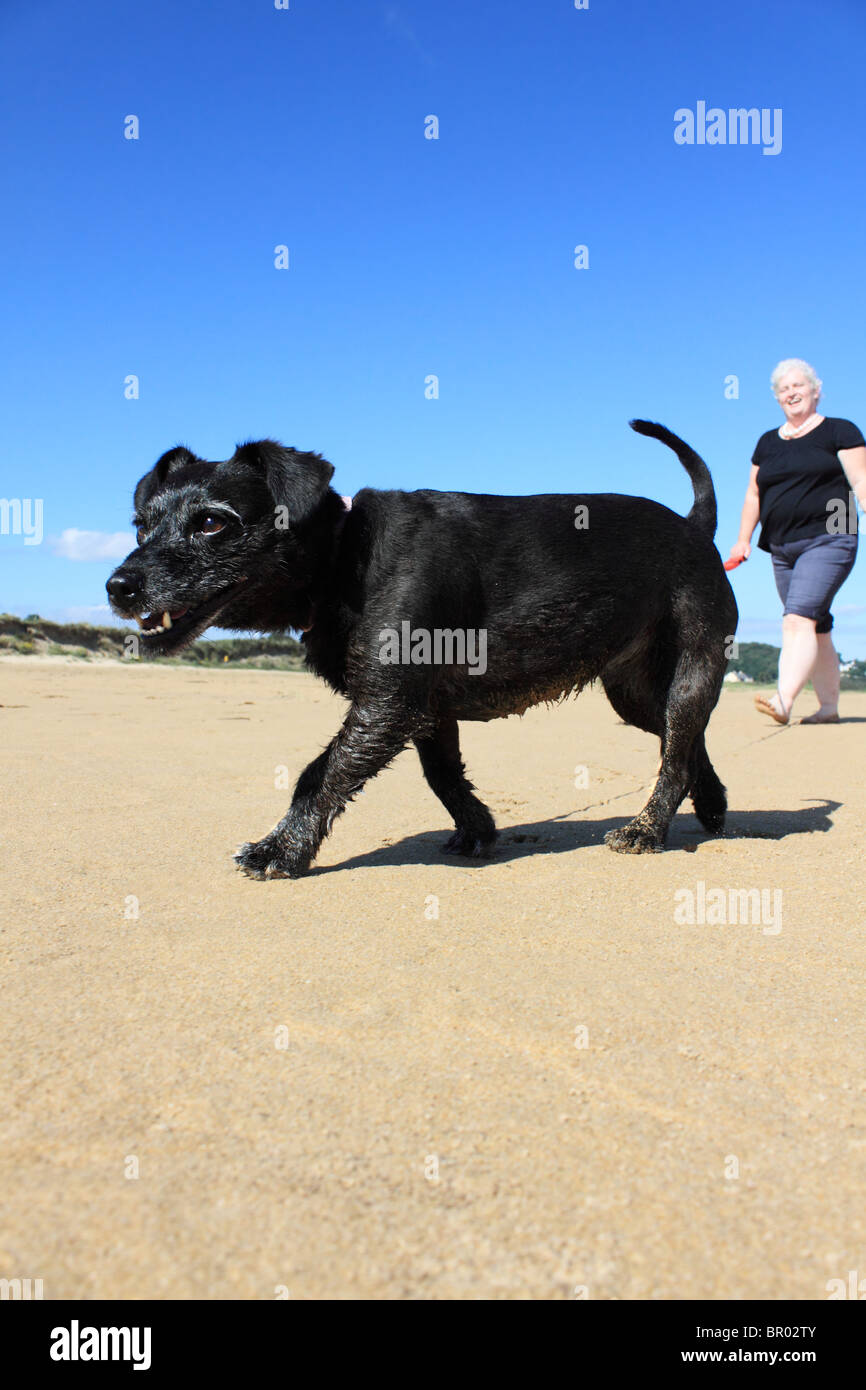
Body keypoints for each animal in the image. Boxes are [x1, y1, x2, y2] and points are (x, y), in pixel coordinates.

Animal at [107, 422, 739, 878]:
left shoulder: (386, 705)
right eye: (139, 525)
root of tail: (695, 527)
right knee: (685, 742)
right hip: (634, 694)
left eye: (213, 523)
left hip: (694, 667)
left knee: (678, 750)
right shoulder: (425, 709)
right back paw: (710, 806)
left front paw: (279, 850)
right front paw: (478, 830)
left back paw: (647, 830)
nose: (118, 586)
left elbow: (319, 773)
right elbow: (442, 775)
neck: (342, 555)